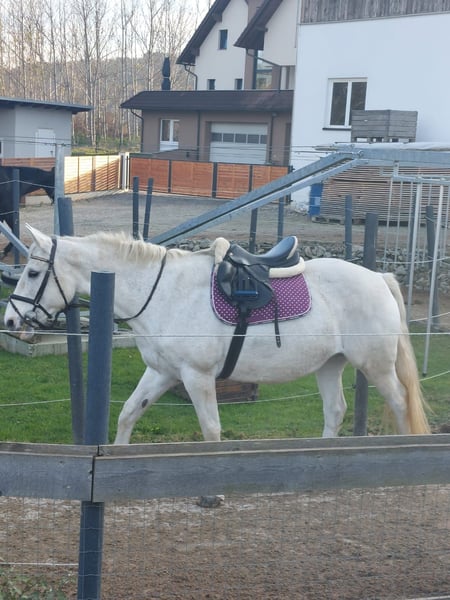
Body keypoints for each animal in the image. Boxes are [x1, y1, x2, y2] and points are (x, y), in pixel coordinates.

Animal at [4, 225, 430, 443]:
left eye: (33, 273)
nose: (10, 321)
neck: (162, 292)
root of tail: (378, 277)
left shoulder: (197, 377)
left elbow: (210, 429)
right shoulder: (162, 373)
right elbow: (127, 414)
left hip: (375, 367)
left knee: (399, 402)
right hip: (330, 364)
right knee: (336, 411)